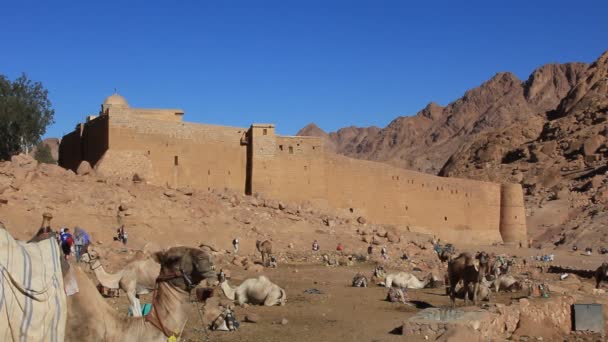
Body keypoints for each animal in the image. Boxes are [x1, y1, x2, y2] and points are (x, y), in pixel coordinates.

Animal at [64, 247, 215, 340]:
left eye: (92, 255)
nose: (81, 257)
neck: (119, 276)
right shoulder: (136, 293)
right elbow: (137, 312)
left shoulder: (129, 290)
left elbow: (136, 312)